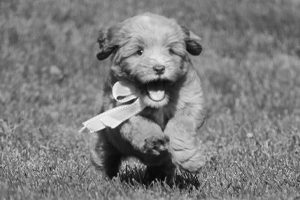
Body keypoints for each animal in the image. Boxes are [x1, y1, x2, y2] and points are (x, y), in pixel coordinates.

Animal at [92, 12, 206, 183]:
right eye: (139, 51)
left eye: (171, 51)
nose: (159, 68)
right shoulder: (119, 109)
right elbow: (140, 123)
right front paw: (154, 140)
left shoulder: (191, 103)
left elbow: (180, 124)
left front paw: (189, 159)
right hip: (105, 141)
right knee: (103, 158)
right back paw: (101, 179)